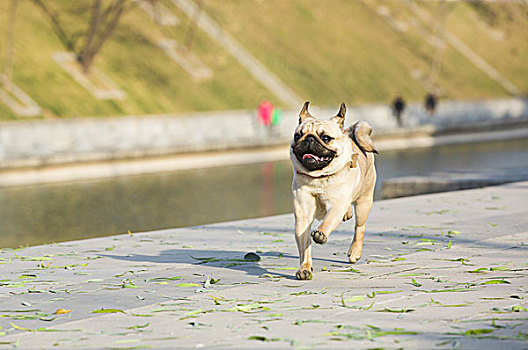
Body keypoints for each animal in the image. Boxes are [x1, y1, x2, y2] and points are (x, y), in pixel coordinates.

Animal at [290, 100, 378, 278]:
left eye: (325, 138)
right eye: (297, 136)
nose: (309, 139)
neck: (318, 178)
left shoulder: (337, 205)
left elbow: (328, 221)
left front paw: (321, 234)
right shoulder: (303, 216)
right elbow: (304, 246)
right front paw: (304, 268)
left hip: (364, 202)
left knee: (359, 227)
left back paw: (355, 252)